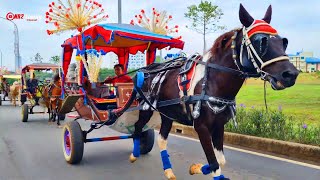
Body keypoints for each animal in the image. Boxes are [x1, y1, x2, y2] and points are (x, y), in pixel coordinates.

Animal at [128, 4, 300, 180]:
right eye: (261, 42)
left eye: (283, 42)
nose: (291, 74)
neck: (212, 84)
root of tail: (146, 70)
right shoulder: (201, 127)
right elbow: (215, 164)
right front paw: (201, 168)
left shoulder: (219, 125)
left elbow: (220, 161)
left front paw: (196, 168)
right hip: (146, 108)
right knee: (138, 126)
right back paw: (135, 154)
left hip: (168, 113)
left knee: (162, 138)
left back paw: (168, 171)